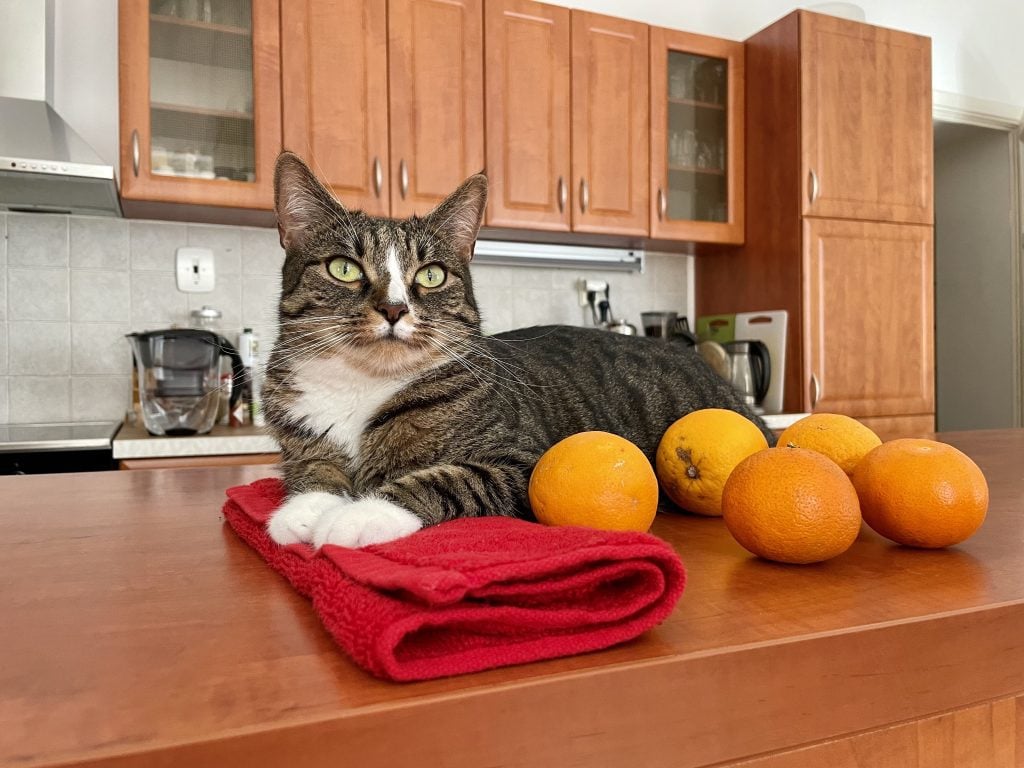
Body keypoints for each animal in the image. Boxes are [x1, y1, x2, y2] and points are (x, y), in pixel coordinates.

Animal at [262, 151, 770, 548]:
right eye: (344, 268)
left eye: (431, 275)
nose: (393, 308)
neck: (363, 384)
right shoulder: (300, 441)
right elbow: (312, 469)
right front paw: (305, 510)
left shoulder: (522, 462)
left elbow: (447, 478)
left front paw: (359, 513)